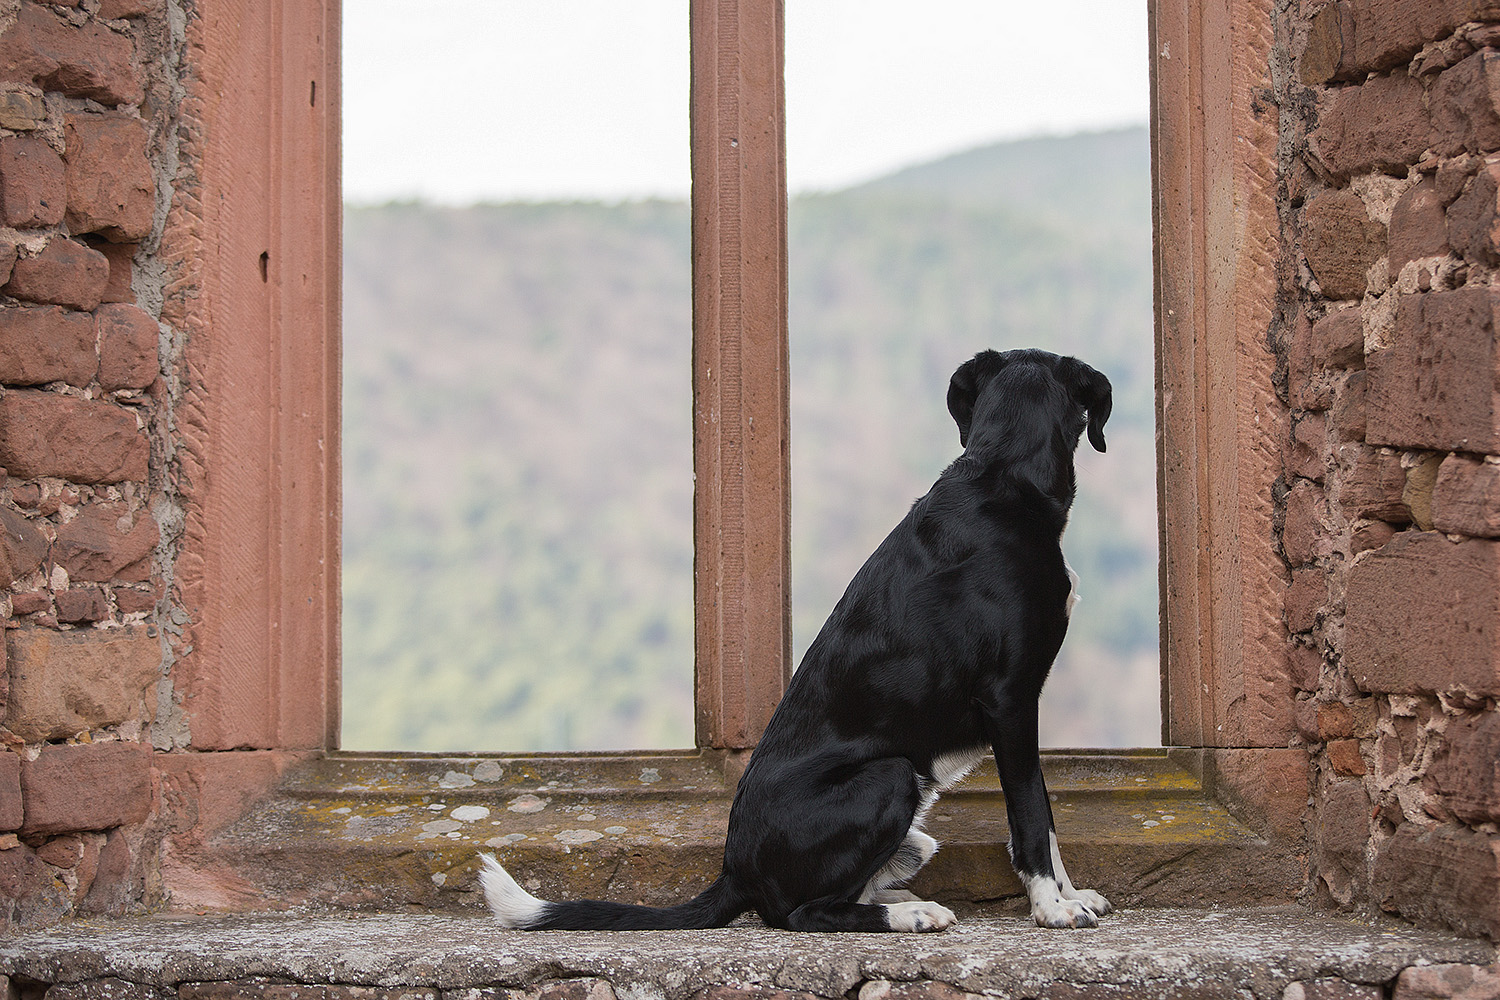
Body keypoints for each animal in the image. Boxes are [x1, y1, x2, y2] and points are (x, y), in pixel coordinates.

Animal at [480, 350, 1116, 929]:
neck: (1002, 477)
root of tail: (735, 872)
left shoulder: (1019, 707)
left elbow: (1046, 816)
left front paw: (1071, 895)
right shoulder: (1009, 701)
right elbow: (1030, 816)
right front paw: (1052, 908)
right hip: (890, 776)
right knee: (803, 913)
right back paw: (909, 915)